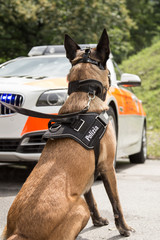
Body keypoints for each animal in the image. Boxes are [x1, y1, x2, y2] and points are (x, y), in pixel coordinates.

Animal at [1, 30, 132, 240]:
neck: (84, 96)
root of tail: (18, 231)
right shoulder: (107, 167)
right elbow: (116, 202)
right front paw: (124, 228)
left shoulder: (87, 179)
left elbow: (92, 198)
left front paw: (98, 221)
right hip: (79, 207)